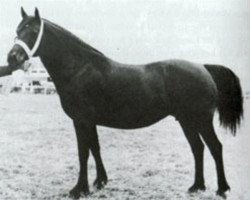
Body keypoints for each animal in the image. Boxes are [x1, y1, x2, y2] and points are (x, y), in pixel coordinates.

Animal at [6, 7, 243, 198]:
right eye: (17, 31)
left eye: (32, 31)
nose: (12, 57)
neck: (80, 68)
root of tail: (203, 67)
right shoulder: (89, 121)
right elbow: (95, 148)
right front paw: (100, 182)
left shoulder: (81, 121)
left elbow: (83, 152)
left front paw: (79, 189)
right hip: (186, 121)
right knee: (198, 148)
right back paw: (196, 187)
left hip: (201, 119)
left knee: (215, 147)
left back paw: (222, 189)